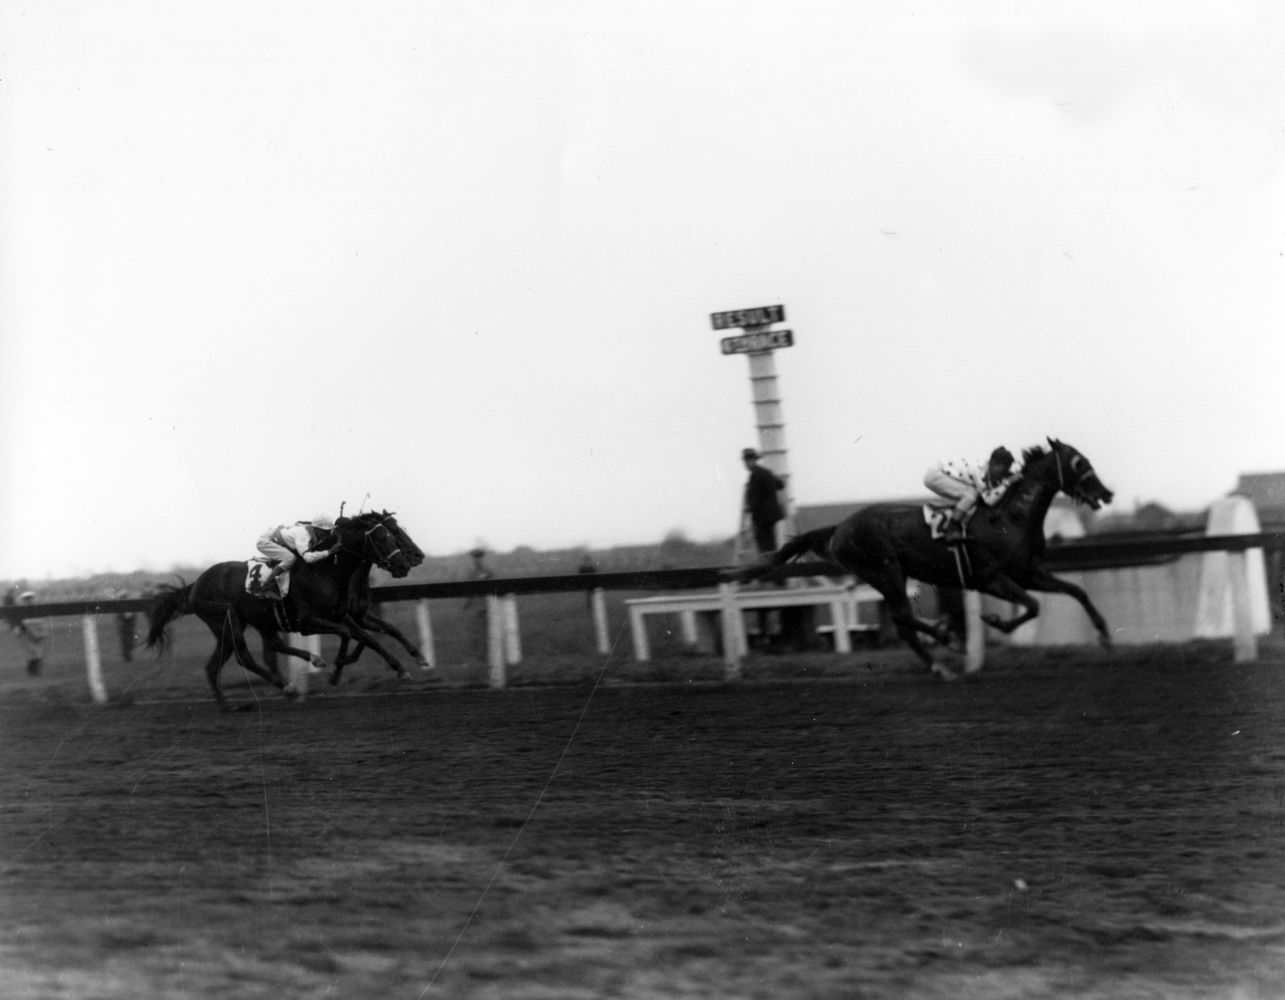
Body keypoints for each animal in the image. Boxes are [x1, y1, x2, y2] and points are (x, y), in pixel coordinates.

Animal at [735, 437, 1115, 678]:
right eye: (1079, 462)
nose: (1107, 493)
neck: (1010, 517)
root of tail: (840, 527)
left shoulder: (1028, 573)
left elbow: (1076, 591)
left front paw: (1105, 635)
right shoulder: (990, 579)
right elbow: (1032, 606)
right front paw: (992, 621)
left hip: (889, 574)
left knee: (903, 624)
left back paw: (939, 661)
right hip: (885, 570)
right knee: (903, 618)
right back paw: (948, 642)